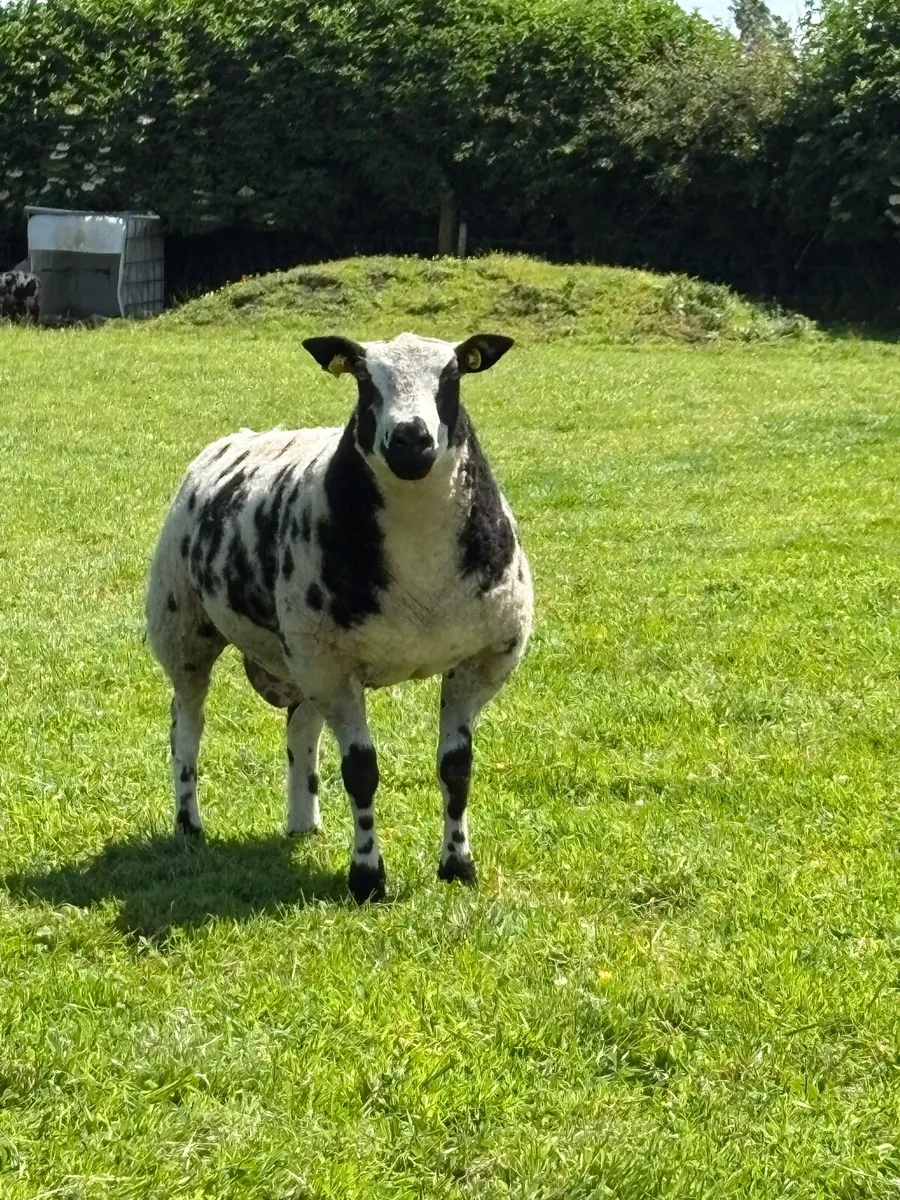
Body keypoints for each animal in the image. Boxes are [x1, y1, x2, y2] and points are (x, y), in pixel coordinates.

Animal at [146, 331, 533, 902]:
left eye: (453, 375)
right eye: (363, 378)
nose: (410, 440)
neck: (421, 561)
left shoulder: (480, 662)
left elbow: (456, 769)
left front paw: (458, 866)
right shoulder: (336, 667)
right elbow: (361, 772)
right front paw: (367, 876)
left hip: (301, 657)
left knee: (300, 728)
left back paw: (303, 822)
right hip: (185, 629)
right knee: (187, 727)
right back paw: (189, 824)